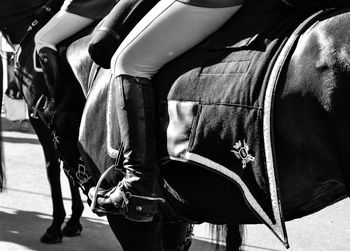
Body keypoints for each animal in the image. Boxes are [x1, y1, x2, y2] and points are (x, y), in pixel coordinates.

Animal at [0, 0, 86, 243]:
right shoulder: (63, 125)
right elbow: (68, 167)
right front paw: (73, 221)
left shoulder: (38, 116)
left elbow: (53, 168)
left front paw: (56, 225)